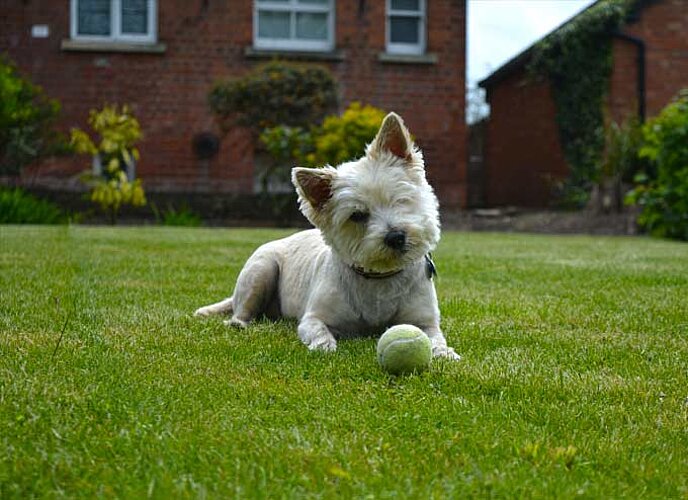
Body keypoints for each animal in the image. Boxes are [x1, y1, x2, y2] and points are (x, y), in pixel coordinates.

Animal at [196, 112, 460, 360]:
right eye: (357, 215)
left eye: (400, 200)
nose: (396, 237)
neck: (379, 278)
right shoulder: (313, 318)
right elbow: (318, 330)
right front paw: (324, 346)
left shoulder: (425, 321)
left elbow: (434, 337)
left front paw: (444, 352)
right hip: (260, 270)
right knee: (242, 309)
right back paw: (238, 323)